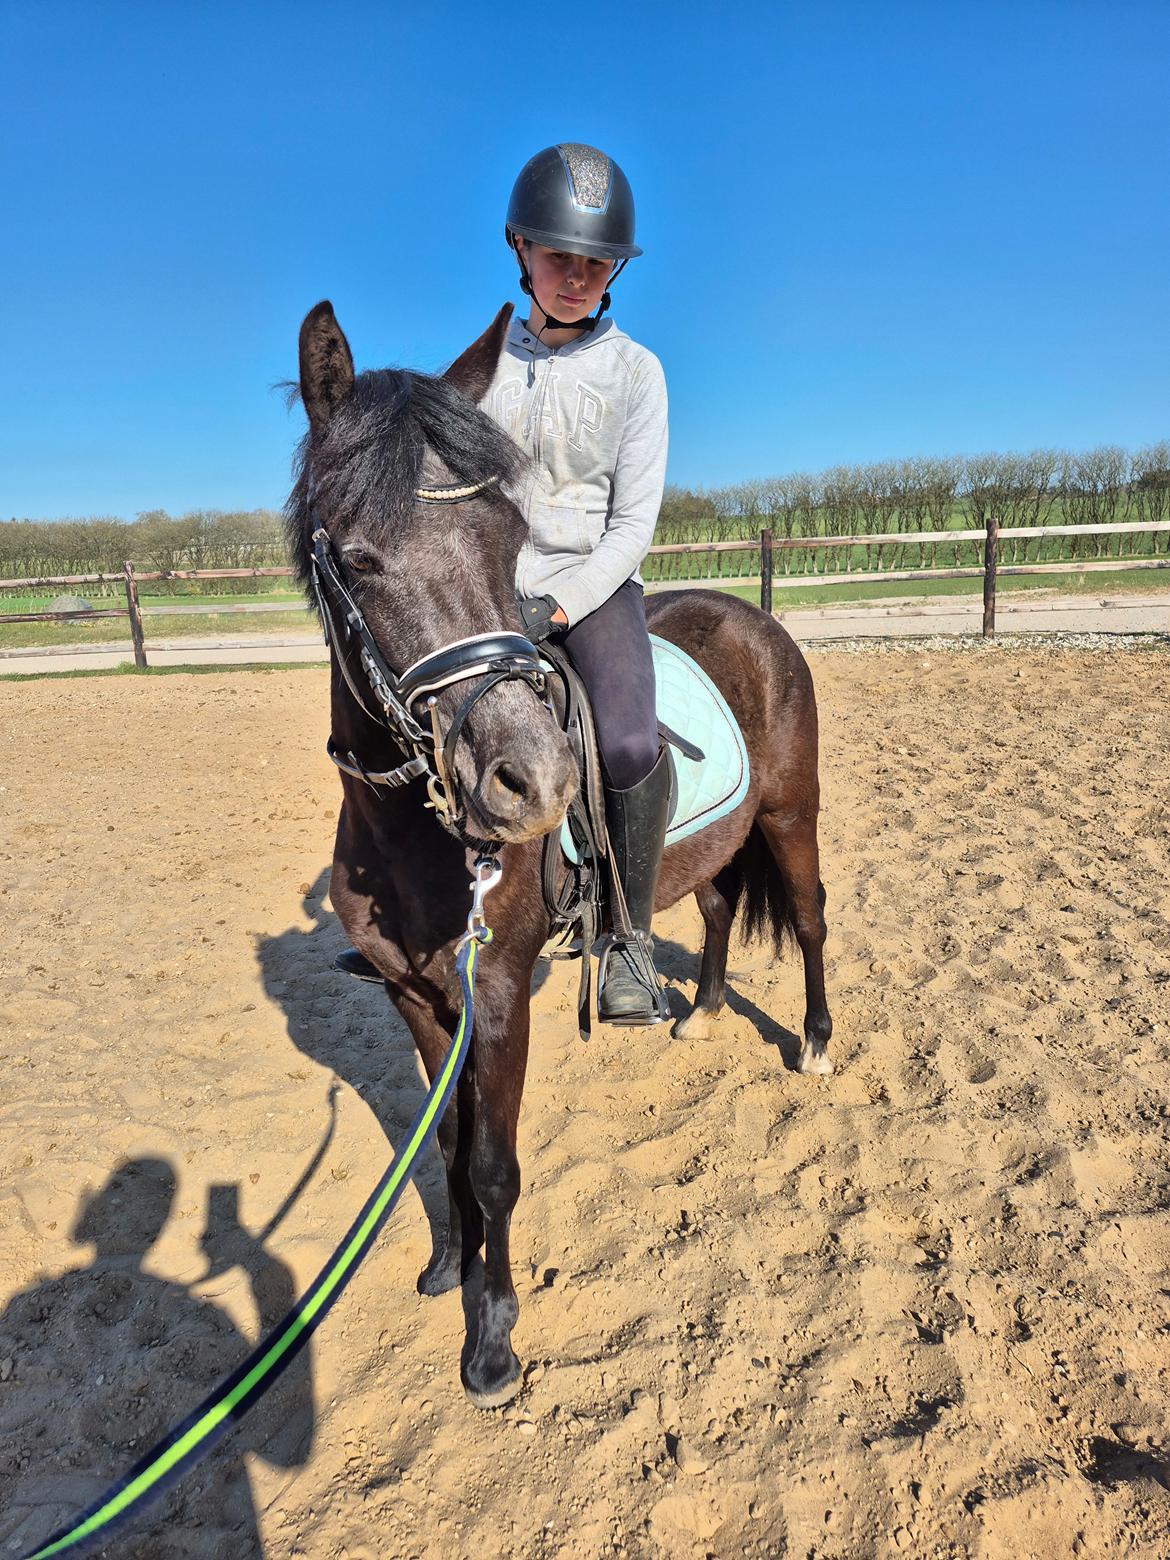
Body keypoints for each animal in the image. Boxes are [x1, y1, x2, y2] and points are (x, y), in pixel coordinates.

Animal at [286, 300, 833, 1407]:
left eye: (510, 535)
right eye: (356, 558)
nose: (530, 781)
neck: (412, 837)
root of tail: (753, 616)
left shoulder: (497, 990)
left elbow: (494, 1165)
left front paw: (493, 1339)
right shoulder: (417, 996)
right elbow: (447, 1143)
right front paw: (447, 1266)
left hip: (790, 817)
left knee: (807, 918)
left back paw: (816, 1042)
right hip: (711, 852)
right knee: (715, 910)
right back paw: (699, 1013)